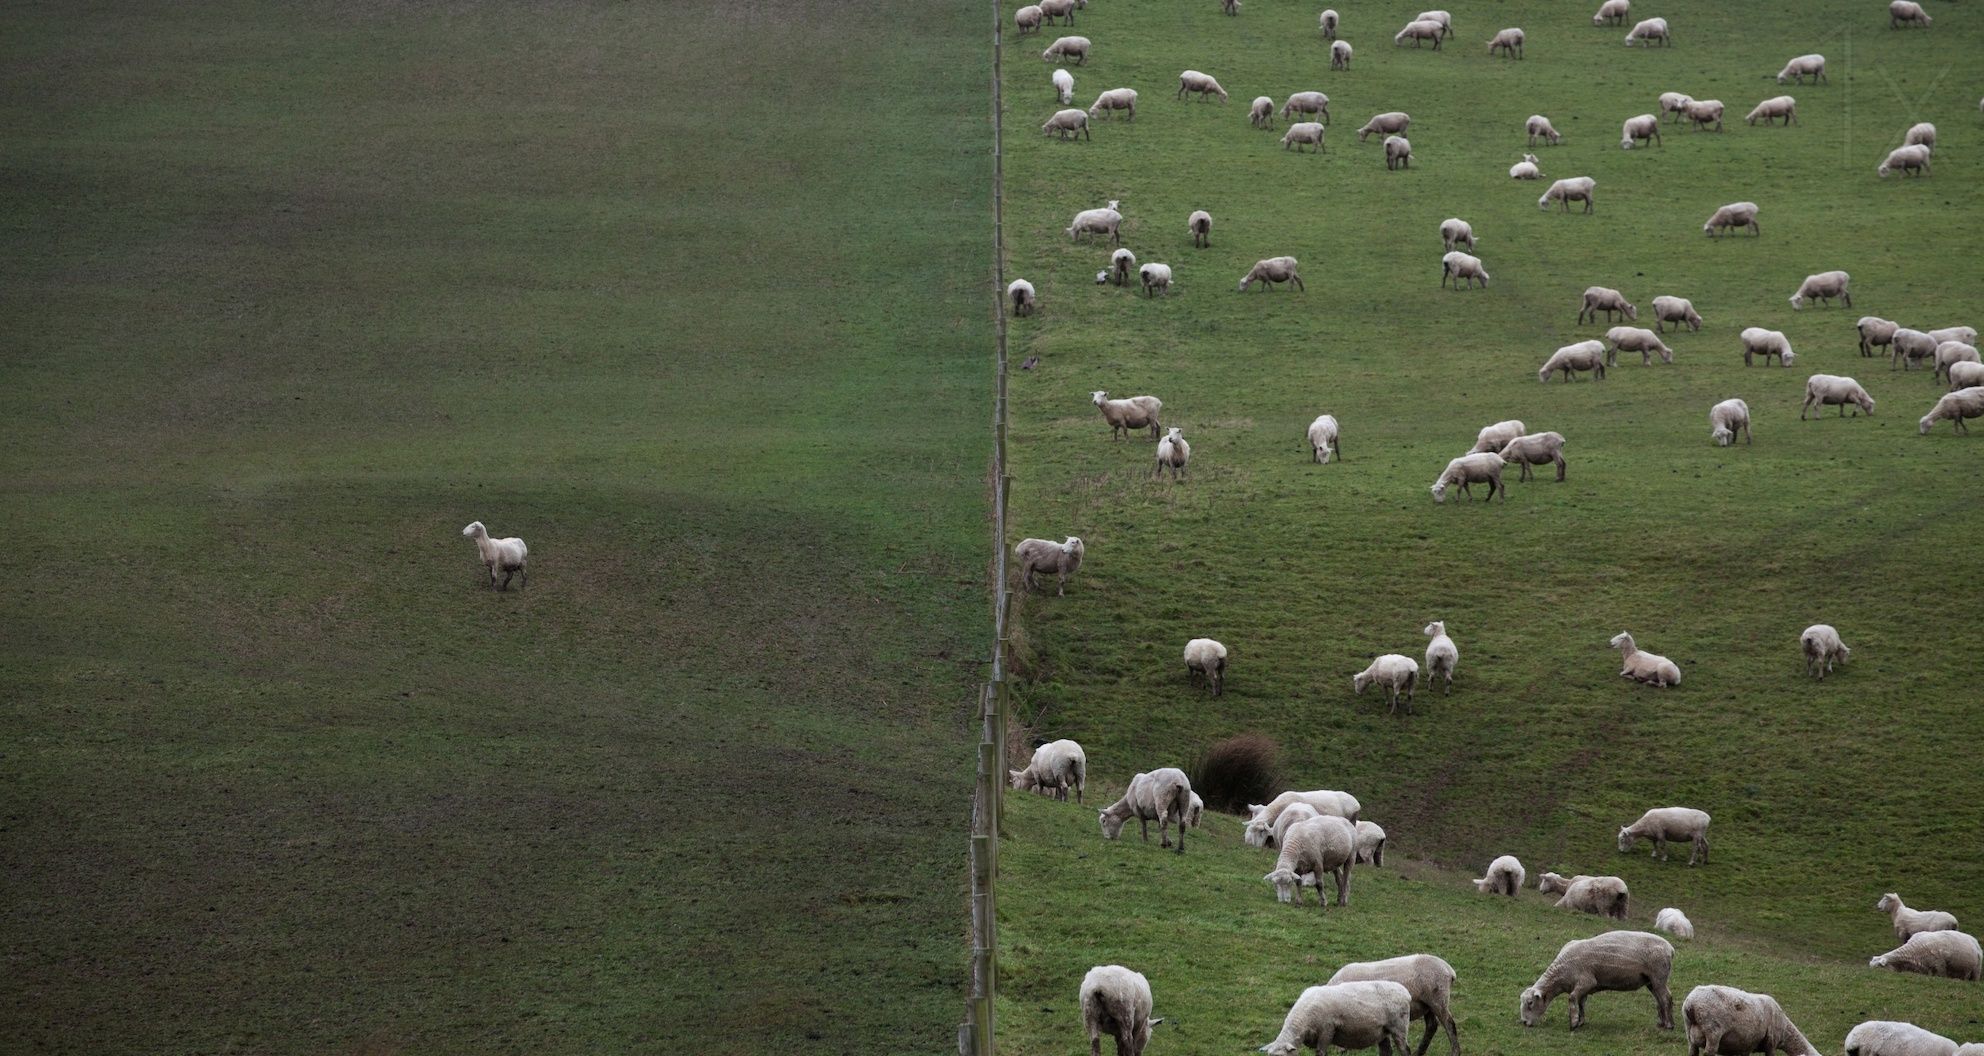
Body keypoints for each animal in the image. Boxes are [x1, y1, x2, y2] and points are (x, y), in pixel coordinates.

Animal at [1261, 980, 1420, 1056]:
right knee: (1386, 1051)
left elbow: (1321, 1053)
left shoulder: (1327, 1030)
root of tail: (1404, 991)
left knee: (1405, 1050)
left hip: (1399, 1027)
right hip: (1383, 1030)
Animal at [1515, 932, 1674, 1032]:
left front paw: (1573, 1023)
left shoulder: (1587, 981)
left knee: (1666, 998)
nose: (1524, 1022)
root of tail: (1670, 948)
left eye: (1530, 1003)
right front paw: (1580, 1021)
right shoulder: (1583, 986)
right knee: (1660, 999)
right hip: (1651, 981)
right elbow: (1581, 1003)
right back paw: (1662, 1023)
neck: (1561, 972)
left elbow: (1572, 998)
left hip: (1659, 976)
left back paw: (1670, 1025)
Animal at [1682, 984, 1817, 1056]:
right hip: (1712, 1031)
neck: (1785, 1031)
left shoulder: (1744, 1045)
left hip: (1689, 1032)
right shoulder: (1771, 1043)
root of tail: (1690, 1004)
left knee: (1692, 1051)